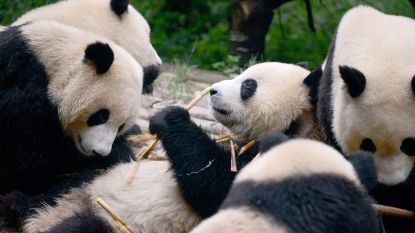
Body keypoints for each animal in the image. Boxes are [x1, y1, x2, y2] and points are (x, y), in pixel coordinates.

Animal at [17, 61, 320, 232]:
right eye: (243, 74)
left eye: (248, 85)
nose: (212, 90)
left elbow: (218, 185)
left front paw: (169, 118)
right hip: (82, 185)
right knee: (49, 191)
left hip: (115, 223)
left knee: (79, 228)